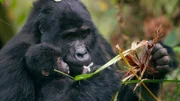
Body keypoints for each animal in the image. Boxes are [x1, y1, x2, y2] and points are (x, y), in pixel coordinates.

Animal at [0, 0, 173, 101]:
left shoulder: (101, 44)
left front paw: (152, 64)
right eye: (69, 37)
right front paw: (100, 80)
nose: (81, 53)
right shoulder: (11, 59)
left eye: (84, 34)